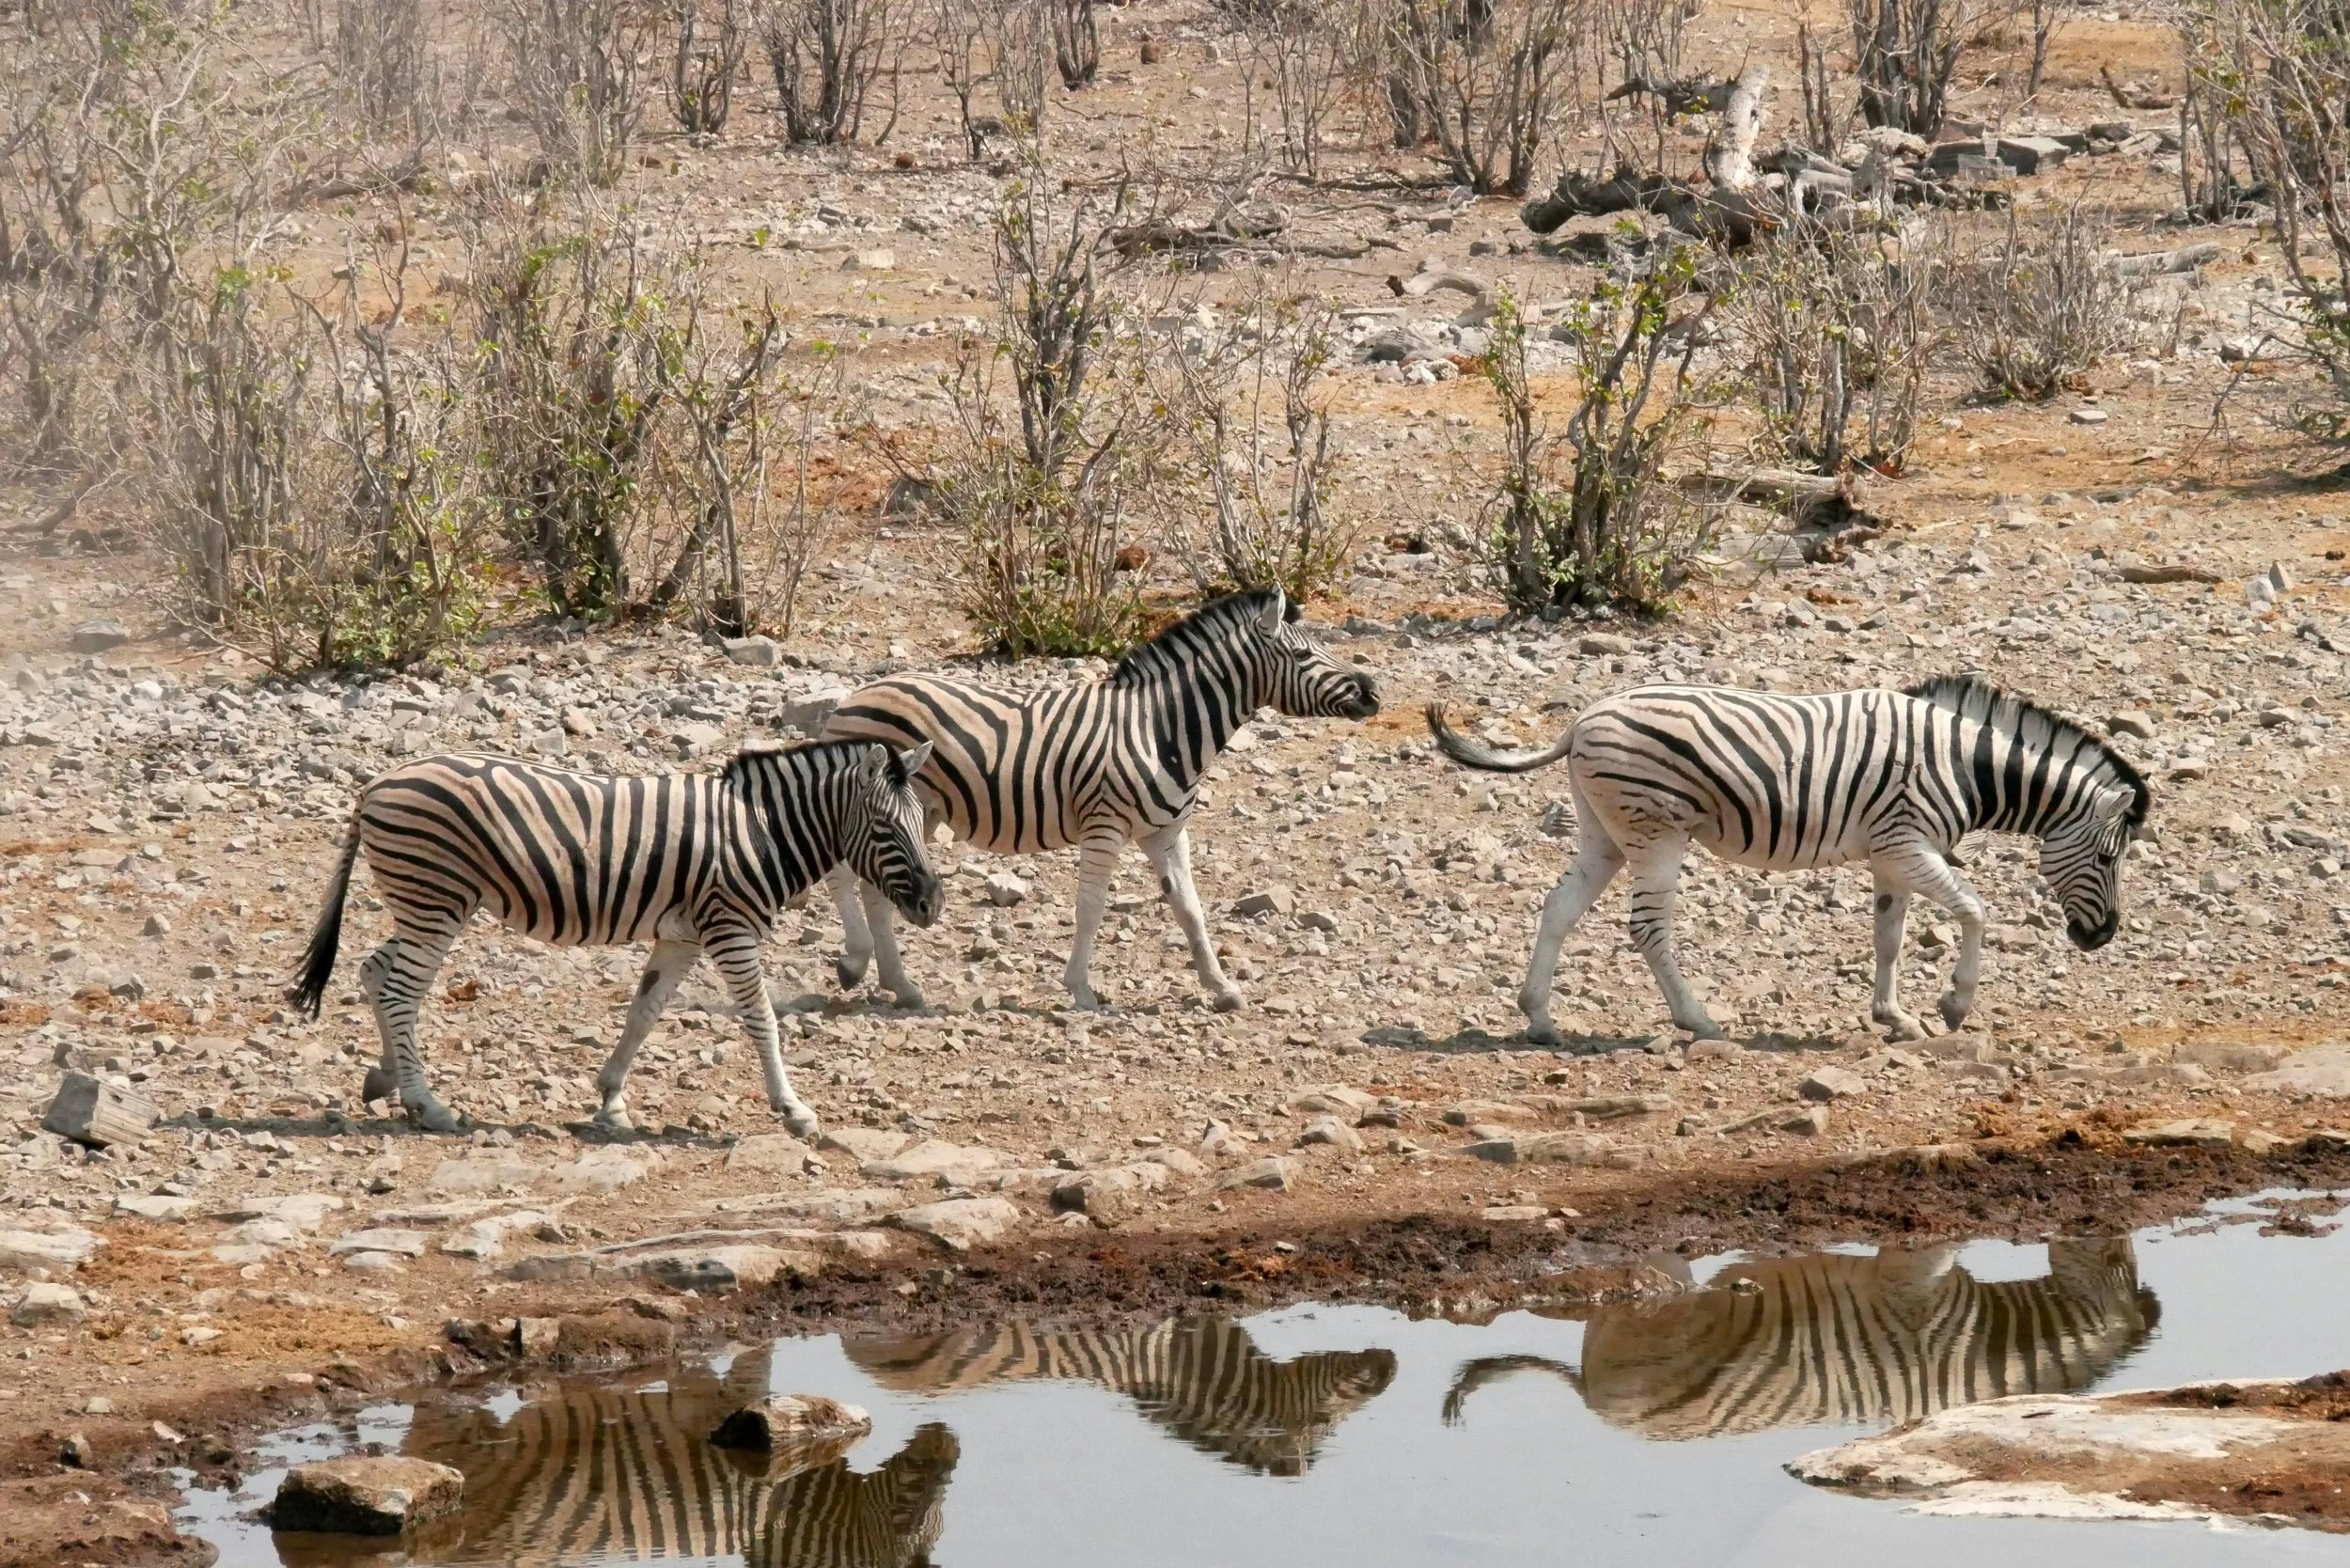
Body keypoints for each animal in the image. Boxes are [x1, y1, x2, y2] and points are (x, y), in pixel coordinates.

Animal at [289, 739, 941, 1136]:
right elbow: (761, 1019)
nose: (932, 904)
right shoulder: (729, 926)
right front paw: (793, 1108)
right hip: (437, 900)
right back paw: (427, 1103)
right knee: (400, 991)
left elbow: (644, 1012)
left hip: (424, 904)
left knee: (376, 973)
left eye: (923, 823)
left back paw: (390, 1079)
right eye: (885, 826)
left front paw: (611, 1099)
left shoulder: (684, 934)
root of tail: (377, 784)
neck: (757, 830)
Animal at [402, 1348, 958, 1567]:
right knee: (438, 1429)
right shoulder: (713, 1402)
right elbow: (753, 1367)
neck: (780, 1512)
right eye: (908, 1516)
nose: (951, 1443)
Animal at [819, 588, 1378, 1012]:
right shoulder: (1104, 827)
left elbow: (1190, 909)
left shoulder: (1166, 831)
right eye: (1304, 656)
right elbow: (1091, 908)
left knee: (875, 887)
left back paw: (899, 985)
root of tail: (851, 699)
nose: (1373, 692)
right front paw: (1082, 990)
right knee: (844, 878)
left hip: (916, 813)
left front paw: (1222, 988)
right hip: (876, 808)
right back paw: (857, 961)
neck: (1162, 729)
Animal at [1425, 675, 2149, 1044]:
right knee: (1648, 928)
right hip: (1657, 832)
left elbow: (1888, 937)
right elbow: (1974, 911)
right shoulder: (1909, 843)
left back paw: (1539, 1016)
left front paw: (1893, 1016)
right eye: (2109, 856)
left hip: (1605, 833)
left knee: (1559, 908)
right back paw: (1697, 1020)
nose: (2103, 936)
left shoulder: (1890, 856)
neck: (1967, 768)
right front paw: (1955, 1004)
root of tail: (1581, 720)